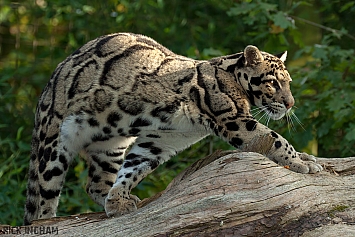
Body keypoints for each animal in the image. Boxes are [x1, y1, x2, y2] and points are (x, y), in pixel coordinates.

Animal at [23, 32, 324, 225]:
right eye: (273, 82)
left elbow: (135, 166)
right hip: (53, 146)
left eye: (289, 82)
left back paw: (112, 200)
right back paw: (45, 220)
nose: (290, 103)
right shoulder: (232, 120)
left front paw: (118, 200)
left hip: (109, 147)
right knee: (42, 198)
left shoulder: (164, 138)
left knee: (94, 183)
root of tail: (50, 83)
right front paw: (303, 163)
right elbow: (274, 137)